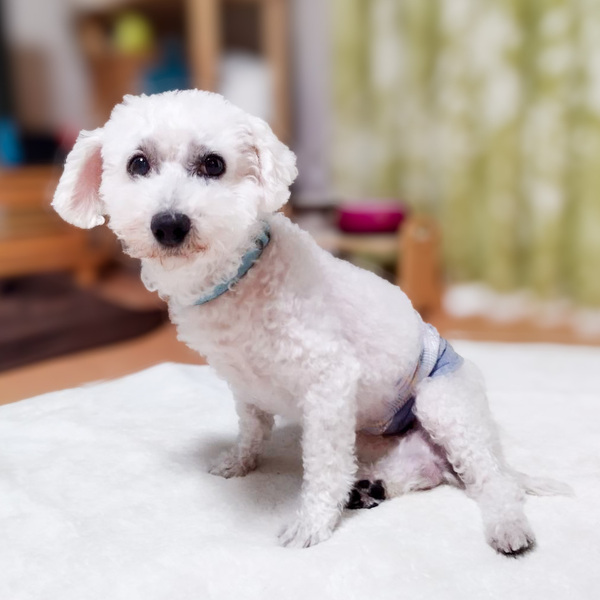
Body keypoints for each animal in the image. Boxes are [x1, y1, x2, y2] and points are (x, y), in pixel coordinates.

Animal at [52, 89, 569, 552]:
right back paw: (370, 488)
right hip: (379, 439)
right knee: (423, 472)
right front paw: (239, 462)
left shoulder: (329, 384)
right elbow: (252, 431)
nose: (169, 224)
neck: (239, 279)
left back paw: (507, 528)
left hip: (444, 407)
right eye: (138, 164)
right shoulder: (245, 387)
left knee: (493, 482)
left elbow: (323, 469)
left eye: (213, 164)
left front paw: (311, 523)